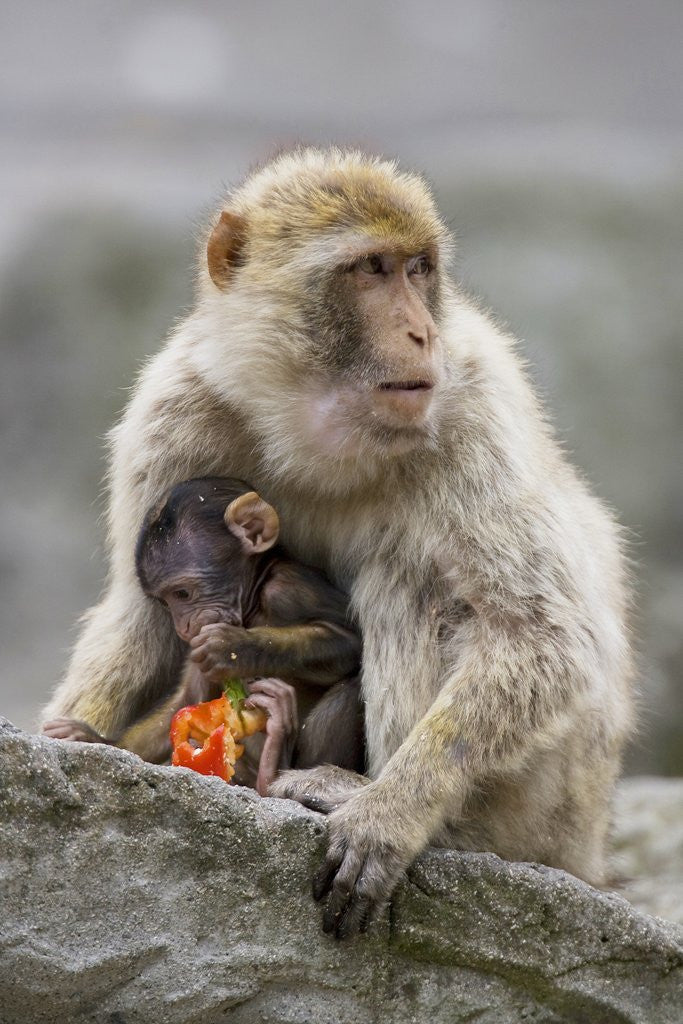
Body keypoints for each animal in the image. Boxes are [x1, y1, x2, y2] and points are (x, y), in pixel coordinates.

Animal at [44, 477, 365, 794]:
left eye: (182, 593)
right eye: (164, 602)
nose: (183, 627)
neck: (253, 600)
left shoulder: (289, 589)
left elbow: (349, 642)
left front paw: (233, 647)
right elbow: (188, 699)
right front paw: (95, 740)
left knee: (349, 691)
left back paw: (274, 765)